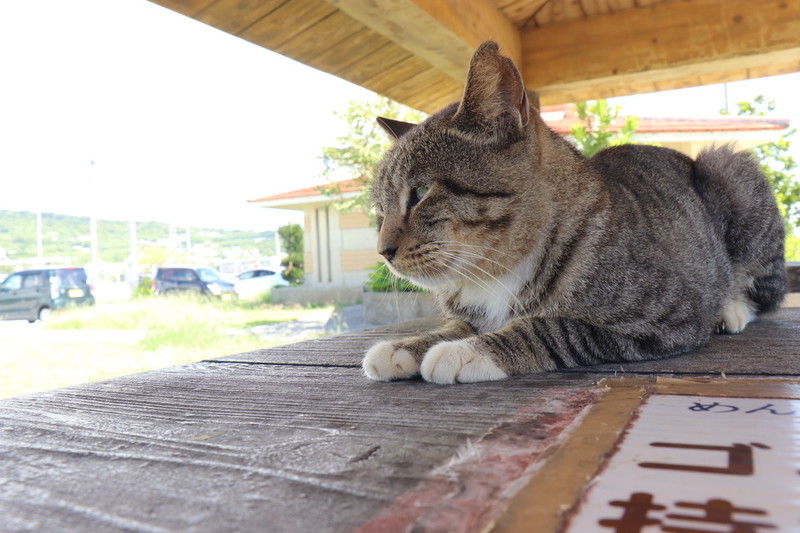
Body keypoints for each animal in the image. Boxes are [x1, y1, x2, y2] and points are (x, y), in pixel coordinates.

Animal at [364, 41, 788, 382]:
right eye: (380, 210)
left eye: (420, 192)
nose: (382, 252)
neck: (494, 272)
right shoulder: (469, 312)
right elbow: (455, 325)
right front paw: (407, 346)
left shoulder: (669, 317)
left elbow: (552, 328)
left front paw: (468, 352)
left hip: (730, 170)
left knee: (768, 292)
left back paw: (731, 308)